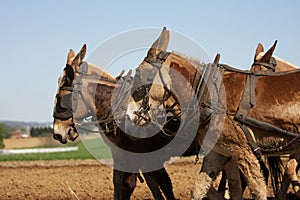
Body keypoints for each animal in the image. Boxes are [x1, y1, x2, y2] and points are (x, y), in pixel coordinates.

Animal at [132, 27, 300, 200]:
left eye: (140, 73)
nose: (130, 114)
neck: (209, 95)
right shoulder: (218, 152)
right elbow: (201, 188)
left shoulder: (243, 152)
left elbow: (257, 190)